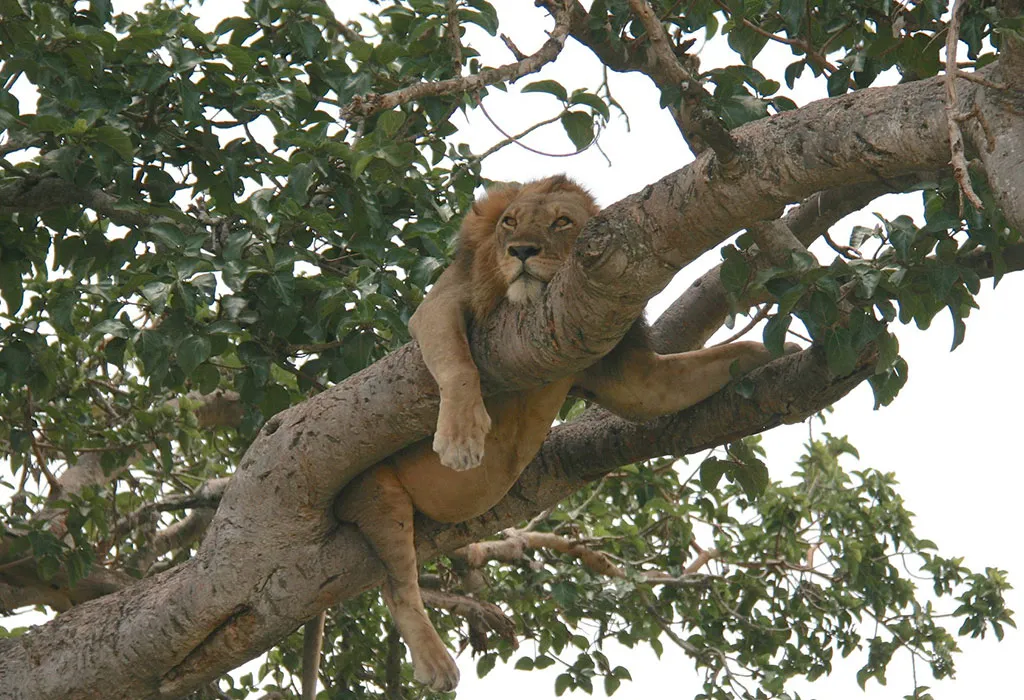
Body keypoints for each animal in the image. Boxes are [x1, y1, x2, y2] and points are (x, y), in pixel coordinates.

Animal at [323, 175, 793, 694]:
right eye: (509, 222)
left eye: (562, 223)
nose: (521, 251)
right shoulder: (443, 301)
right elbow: (457, 364)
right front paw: (462, 438)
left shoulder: (618, 365)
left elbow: (690, 372)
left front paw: (774, 352)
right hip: (377, 494)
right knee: (398, 587)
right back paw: (435, 661)